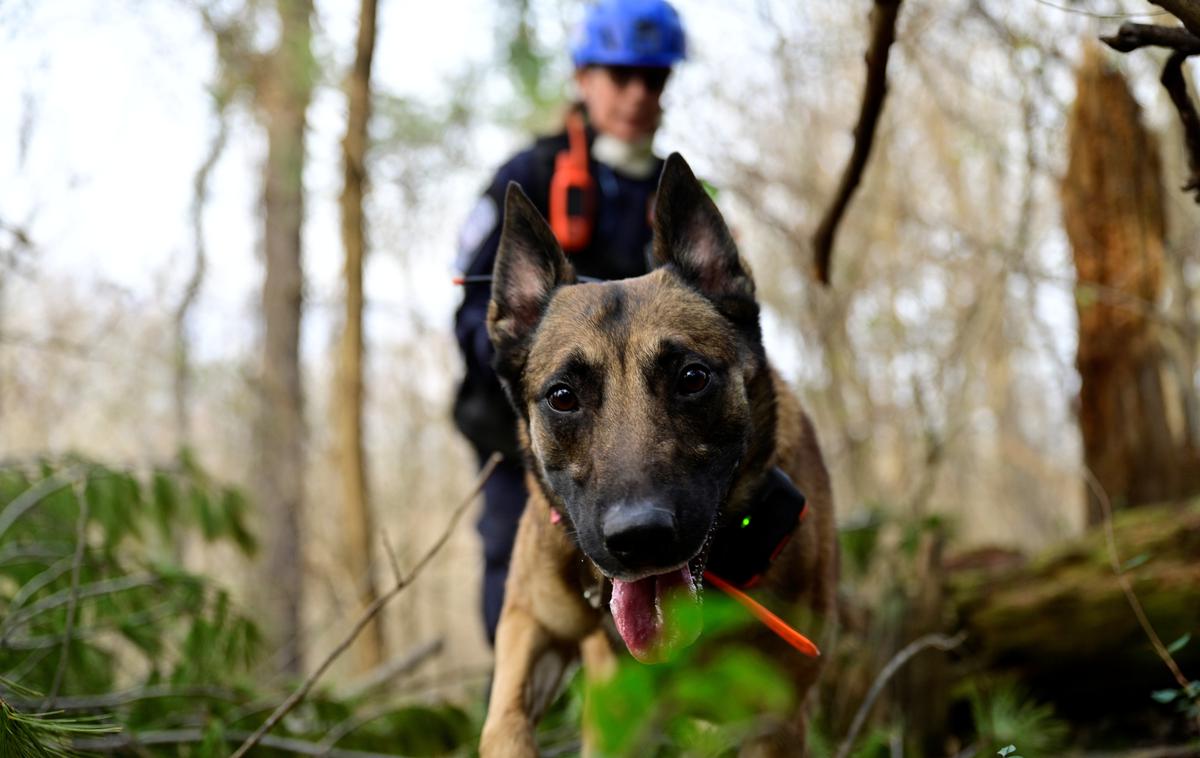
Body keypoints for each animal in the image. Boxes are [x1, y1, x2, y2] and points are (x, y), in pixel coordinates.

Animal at [477, 153, 835, 758]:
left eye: (692, 378)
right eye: (562, 396)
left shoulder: (775, 722)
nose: (638, 538)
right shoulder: (531, 625)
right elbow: (503, 723)